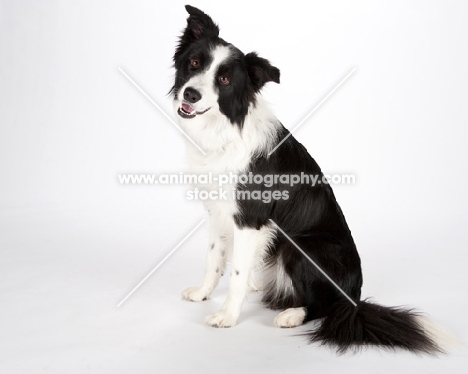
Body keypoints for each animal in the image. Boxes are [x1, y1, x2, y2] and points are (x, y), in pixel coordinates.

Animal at [174, 4, 444, 352]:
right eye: (194, 63)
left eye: (223, 79)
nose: (190, 94)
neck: (226, 129)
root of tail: (354, 300)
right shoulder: (220, 211)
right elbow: (214, 257)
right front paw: (202, 293)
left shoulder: (250, 218)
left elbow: (236, 272)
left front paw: (228, 315)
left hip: (300, 248)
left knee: (322, 306)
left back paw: (292, 314)